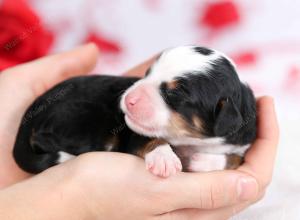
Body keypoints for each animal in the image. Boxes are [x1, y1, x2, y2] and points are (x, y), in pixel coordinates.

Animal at [13, 46, 255, 177]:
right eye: (147, 74)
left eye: (174, 95)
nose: (128, 99)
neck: (193, 140)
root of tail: (31, 112)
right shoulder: (132, 134)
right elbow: (149, 139)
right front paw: (164, 158)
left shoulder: (243, 139)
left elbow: (236, 159)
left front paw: (201, 161)